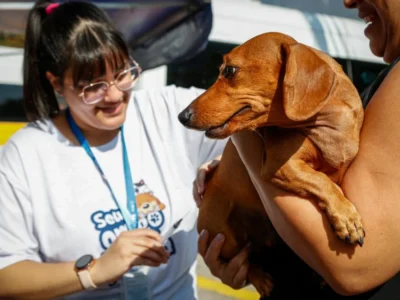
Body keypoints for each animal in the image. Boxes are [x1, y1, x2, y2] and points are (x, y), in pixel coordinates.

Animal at [178, 31, 366, 298]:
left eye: (229, 71)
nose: (181, 116)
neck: (327, 126)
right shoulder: (281, 167)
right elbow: (323, 182)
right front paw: (347, 218)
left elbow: (330, 181)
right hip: (223, 235)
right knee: (244, 262)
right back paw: (261, 279)